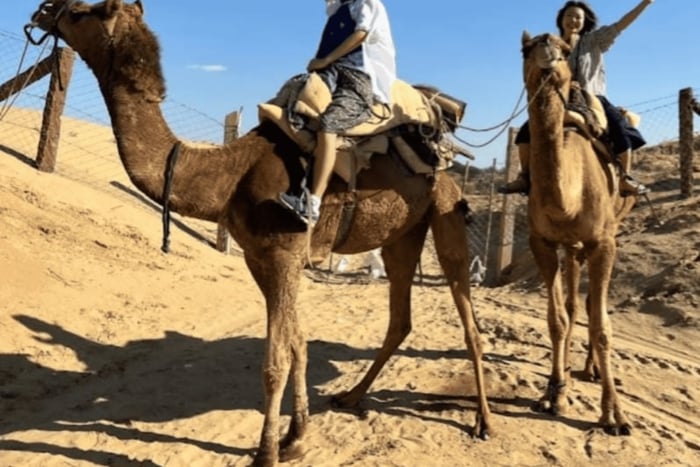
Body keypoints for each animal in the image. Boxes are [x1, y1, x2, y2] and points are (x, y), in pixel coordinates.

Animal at [28, 1, 491, 465]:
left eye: (84, 12)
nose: (44, 11)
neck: (230, 175)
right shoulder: (260, 257)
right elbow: (299, 346)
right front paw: (296, 438)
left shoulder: (283, 253)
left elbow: (276, 361)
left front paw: (266, 452)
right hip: (402, 235)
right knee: (400, 319)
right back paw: (350, 397)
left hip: (445, 210)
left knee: (468, 322)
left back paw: (483, 422)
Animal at [520, 31, 637, 435]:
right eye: (524, 49)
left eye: (566, 49)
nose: (547, 54)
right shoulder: (542, 241)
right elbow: (556, 319)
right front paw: (554, 392)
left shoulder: (603, 242)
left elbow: (602, 325)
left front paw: (614, 416)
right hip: (571, 245)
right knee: (573, 304)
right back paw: (572, 374)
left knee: (590, 306)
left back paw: (592, 370)